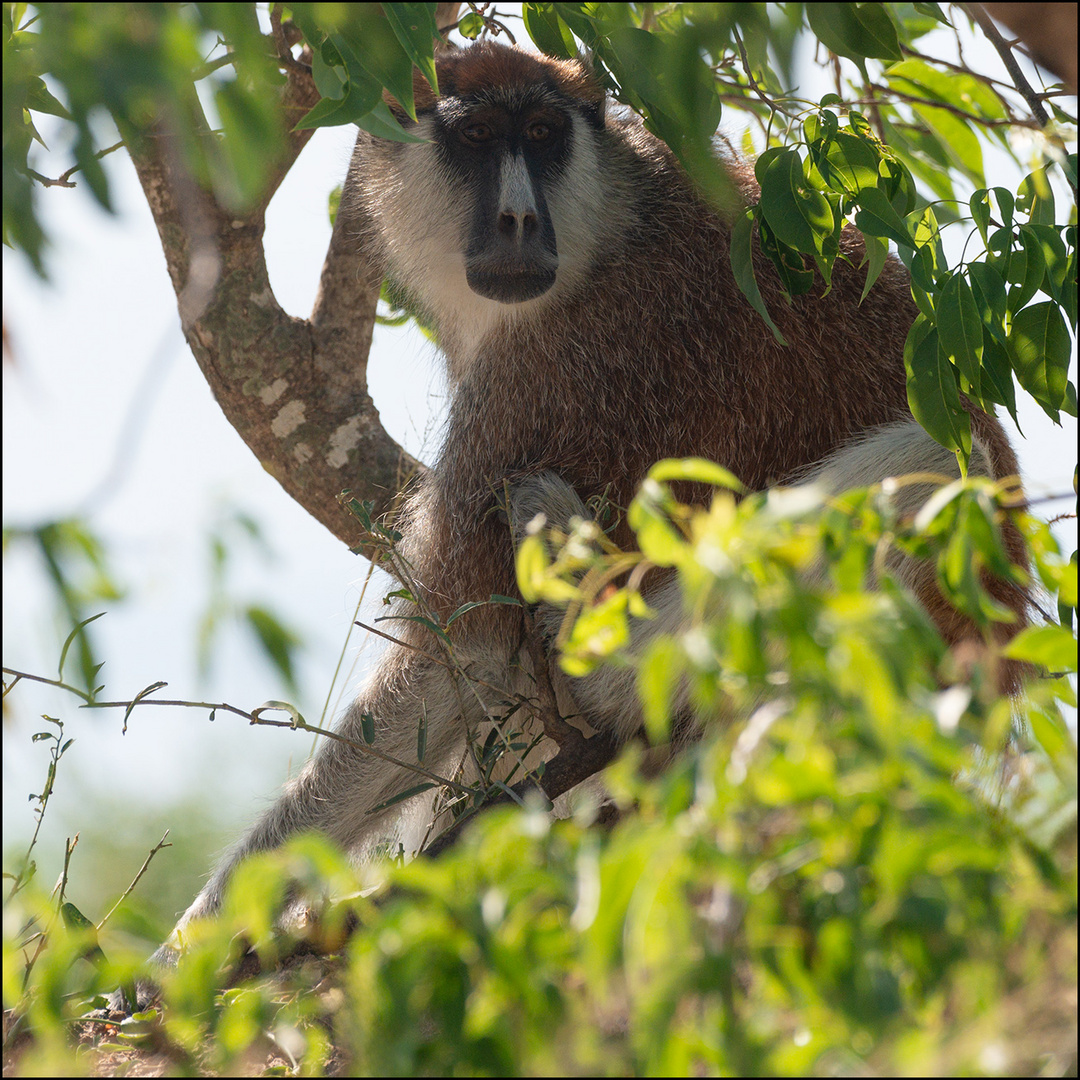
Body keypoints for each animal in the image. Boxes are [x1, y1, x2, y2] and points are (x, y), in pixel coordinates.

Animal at [145, 46, 1028, 980]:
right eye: (477, 137)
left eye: (541, 134)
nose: (518, 219)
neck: (608, 223)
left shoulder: (543, 376)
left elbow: (463, 653)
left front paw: (181, 952)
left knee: (932, 466)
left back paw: (594, 656)